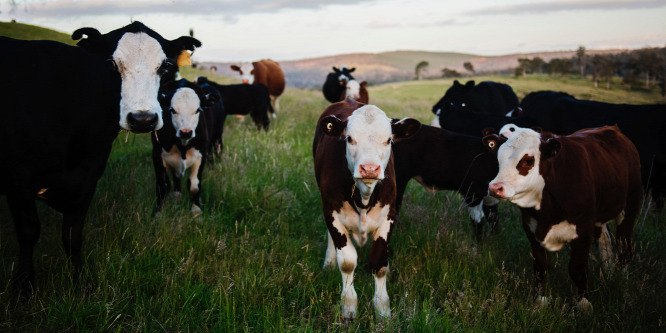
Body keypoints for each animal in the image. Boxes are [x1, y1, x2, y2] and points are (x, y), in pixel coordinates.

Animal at [0, 21, 200, 290]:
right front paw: (24, 286)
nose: (143, 119)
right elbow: (28, 232)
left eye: (165, 66)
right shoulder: (19, 179)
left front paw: (79, 283)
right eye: (111, 64)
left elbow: (72, 235)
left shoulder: (88, 177)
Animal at [151, 80, 220, 215]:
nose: (186, 132)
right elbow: (163, 185)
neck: (182, 145)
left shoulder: (201, 155)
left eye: (197, 110)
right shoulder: (157, 154)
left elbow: (194, 186)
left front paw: (196, 211)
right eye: (172, 110)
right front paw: (158, 213)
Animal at [312, 98, 418, 320]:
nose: (369, 169)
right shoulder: (331, 210)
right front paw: (349, 307)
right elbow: (347, 262)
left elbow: (378, 261)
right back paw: (329, 262)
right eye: (349, 138)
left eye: (388, 140)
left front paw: (383, 310)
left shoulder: (389, 215)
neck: (364, 195)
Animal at [486, 124, 640, 312]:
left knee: (624, 247)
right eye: (498, 159)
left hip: (630, 207)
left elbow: (577, 269)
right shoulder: (531, 228)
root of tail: (611, 128)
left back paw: (622, 281)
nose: (495, 188)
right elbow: (541, 266)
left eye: (528, 160)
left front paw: (584, 305)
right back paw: (608, 275)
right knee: (606, 243)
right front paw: (539, 301)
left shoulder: (583, 229)